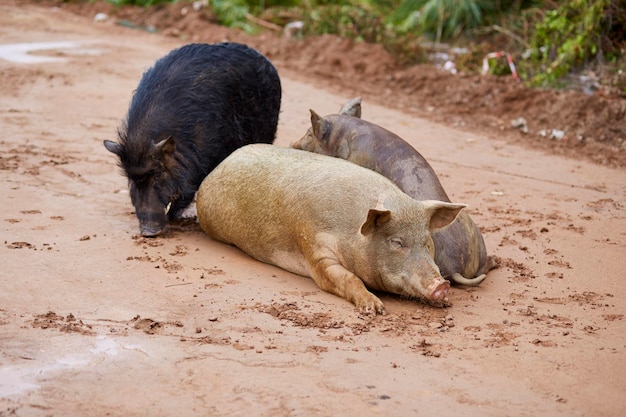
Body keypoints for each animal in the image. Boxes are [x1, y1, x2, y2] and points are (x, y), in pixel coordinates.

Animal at [197, 143, 466, 312]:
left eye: (427, 242)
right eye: (397, 242)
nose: (442, 285)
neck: (352, 232)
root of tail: (219, 165)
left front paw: (445, 304)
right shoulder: (315, 248)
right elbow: (347, 278)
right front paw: (374, 309)